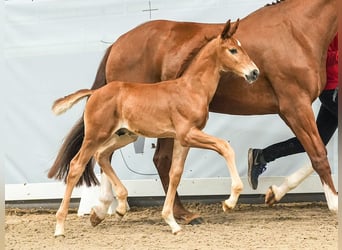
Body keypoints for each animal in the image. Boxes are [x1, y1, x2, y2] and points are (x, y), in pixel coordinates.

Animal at [52, 20, 258, 236]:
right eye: (233, 50)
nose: (254, 73)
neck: (191, 89)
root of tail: (94, 92)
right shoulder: (188, 134)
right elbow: (225, 147)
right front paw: (229, 202)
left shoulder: (182, 140)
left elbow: (175, 174)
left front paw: (172, 222)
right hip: (95, 135)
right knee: (77, 165)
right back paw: (60, 227)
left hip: (126, 135)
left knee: (102, 155)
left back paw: (119, 207)